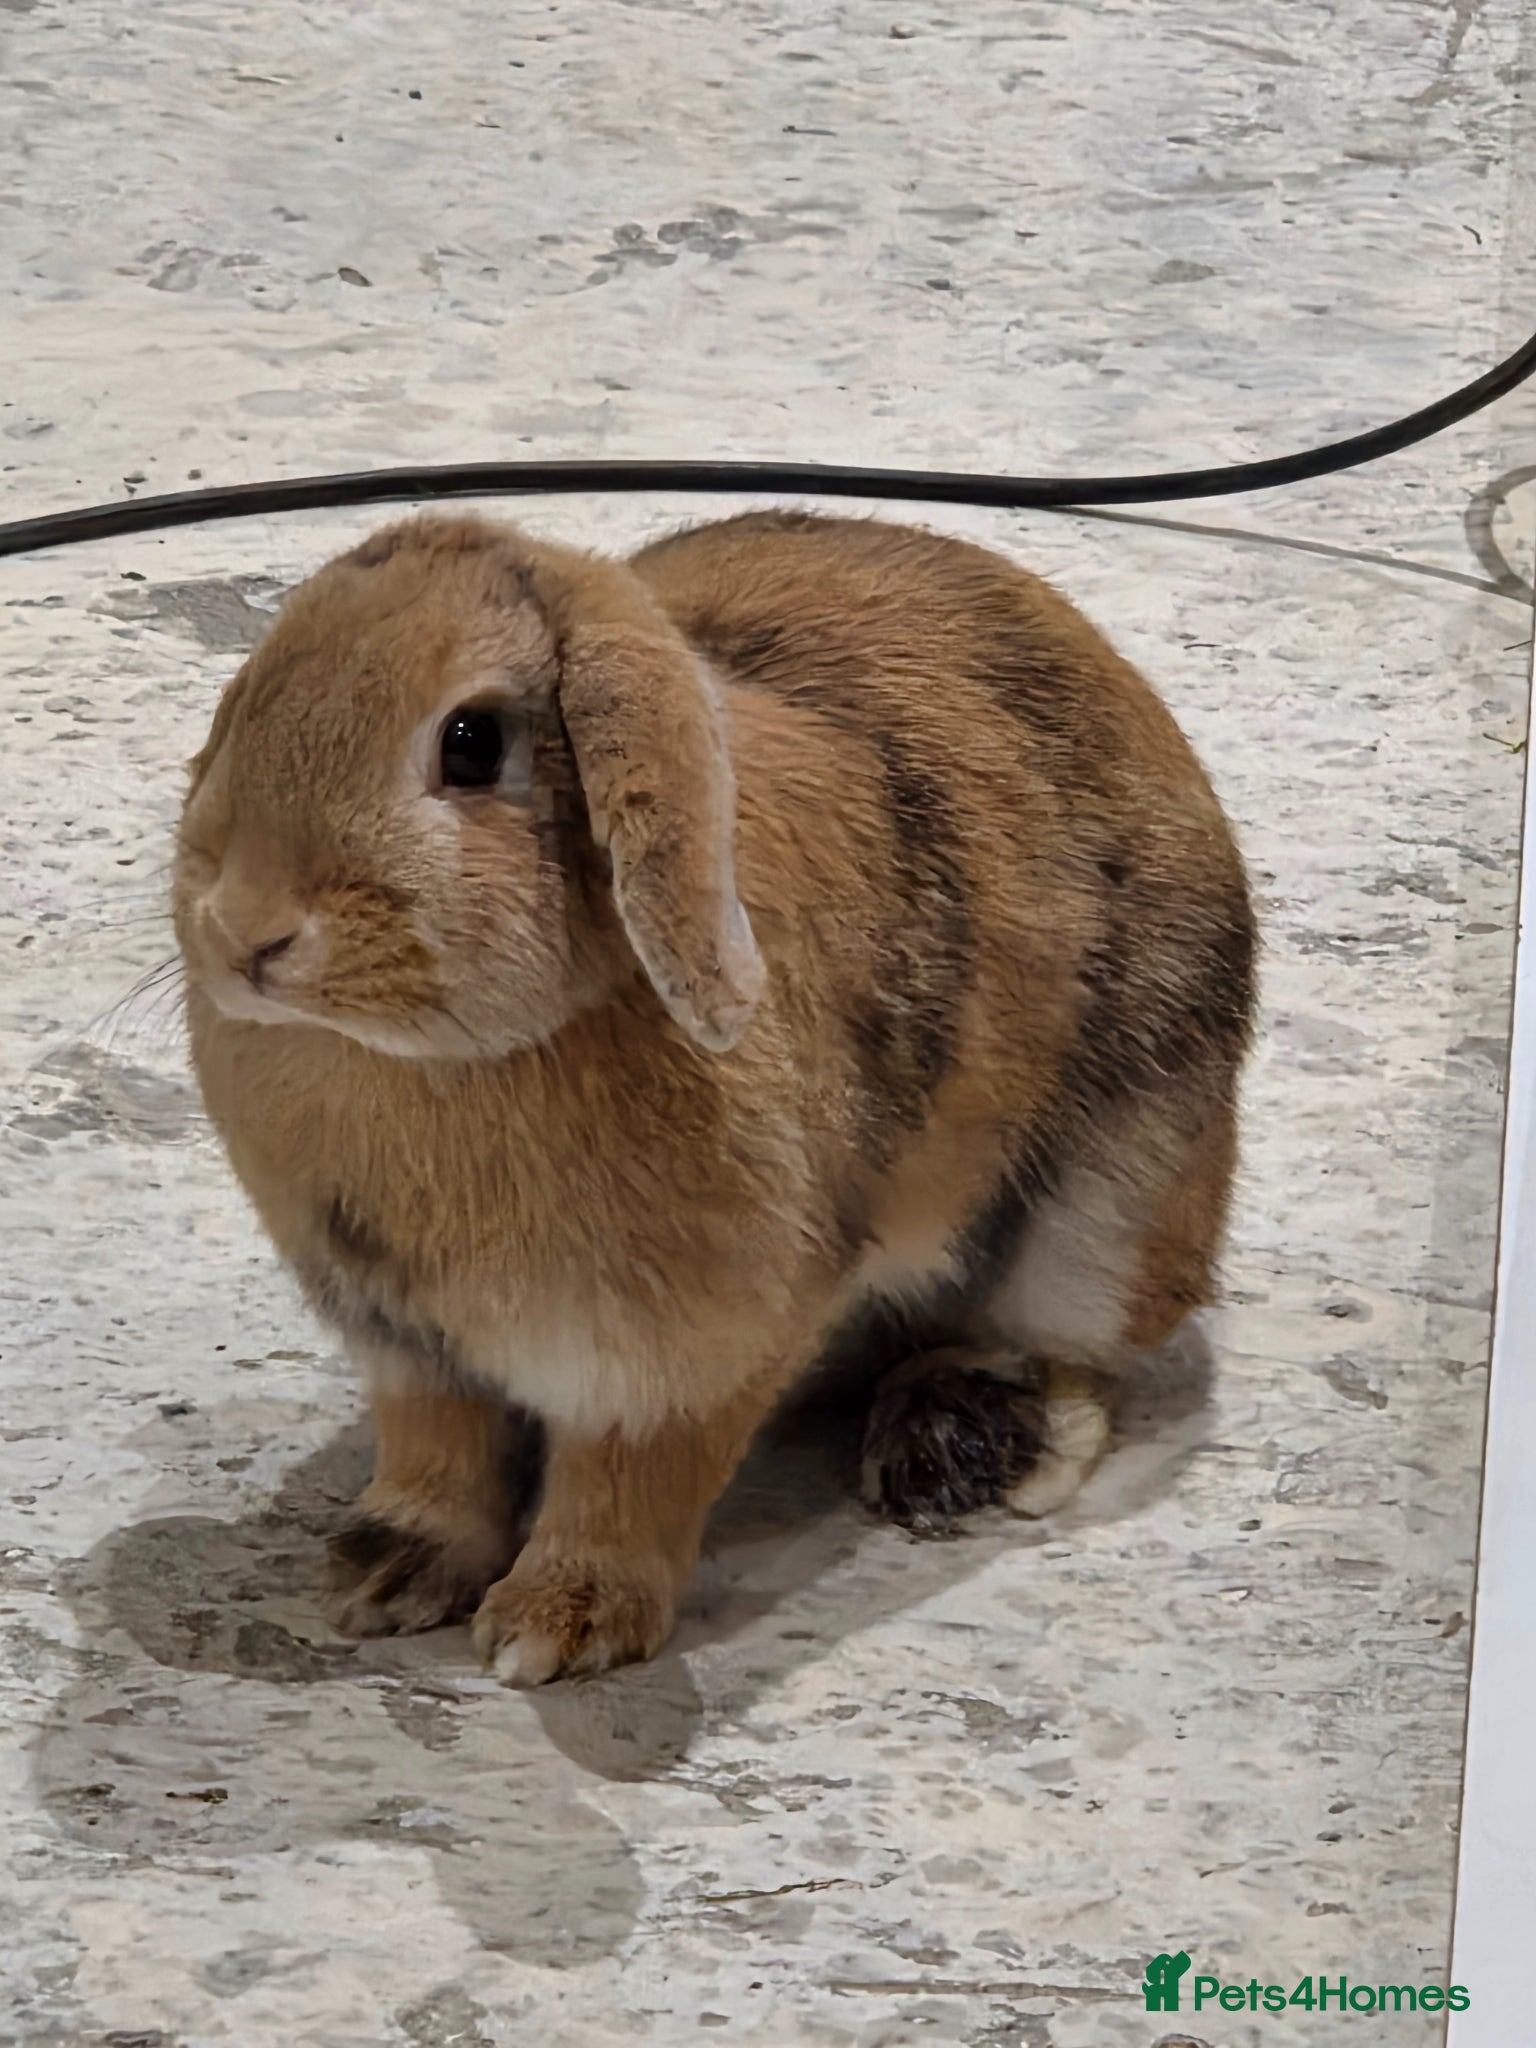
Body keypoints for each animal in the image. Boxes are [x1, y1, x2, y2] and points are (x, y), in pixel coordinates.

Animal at [172, 508, 1255, 1685]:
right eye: (251, 694)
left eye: (471, 743)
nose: (245, 931)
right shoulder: (407, 1340)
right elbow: (438, 1448)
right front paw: (380, 1574)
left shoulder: (691, 1354)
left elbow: (633, 1476)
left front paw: (556, 1627)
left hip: (1116, 1200)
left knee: (1065, 1347)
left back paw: (962, 1453)